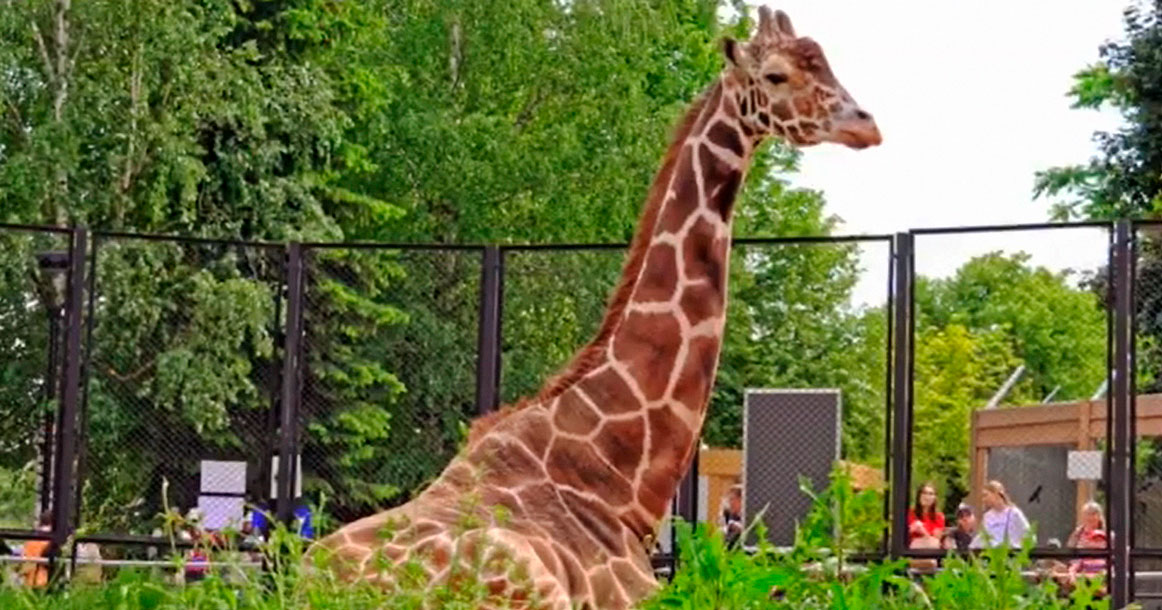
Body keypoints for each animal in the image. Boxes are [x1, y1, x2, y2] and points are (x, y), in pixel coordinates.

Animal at [312, 7, 880, 609]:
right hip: (527, 580)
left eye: (826, 62)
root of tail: (309, 579)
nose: (866, 125)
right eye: (775, 75)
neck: (621, 484)